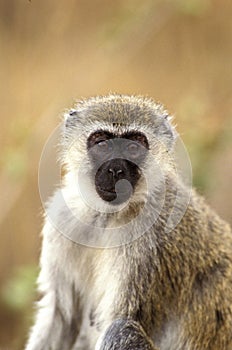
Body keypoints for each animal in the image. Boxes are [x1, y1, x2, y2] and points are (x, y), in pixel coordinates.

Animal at [25, 93, 232, 350]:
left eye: (133, 147)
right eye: (102, 144)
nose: (116, 170)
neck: (108, 216)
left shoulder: (150, 243)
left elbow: (117, 319)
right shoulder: (63, 220)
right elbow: (61, 317)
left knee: (121, 329)